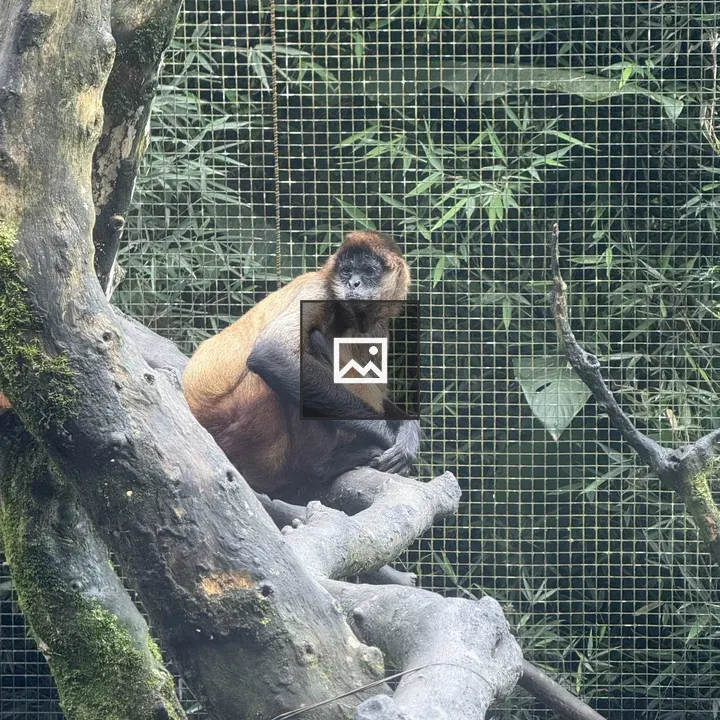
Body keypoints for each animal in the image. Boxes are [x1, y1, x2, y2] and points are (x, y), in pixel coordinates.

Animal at [182, 231, 421, 500]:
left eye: (369, 271)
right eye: (347, 271)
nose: (354, 284)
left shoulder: (376, 325)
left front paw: (409, 431)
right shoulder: (316, 291)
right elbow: (272, 354)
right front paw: (387, 436)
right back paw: (320, 468)